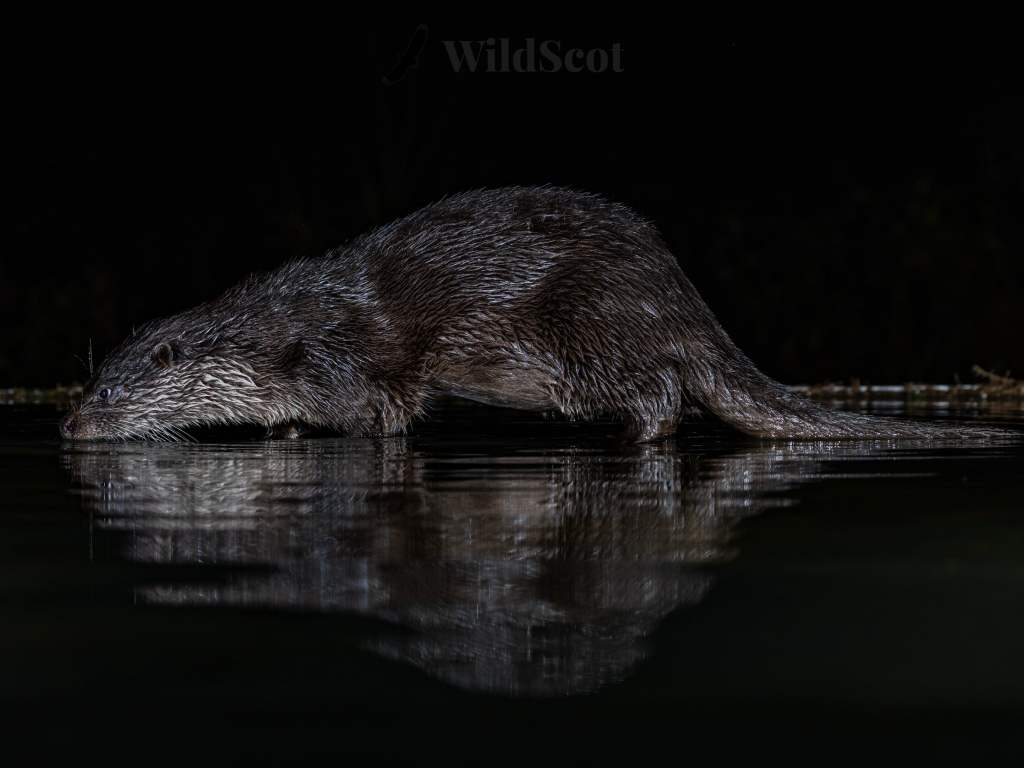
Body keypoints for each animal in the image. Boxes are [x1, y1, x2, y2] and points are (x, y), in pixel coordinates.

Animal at [60, 186, 1016, 442]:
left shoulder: (344, 365)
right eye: (88, 378)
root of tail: (680, 298)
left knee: (661, 394)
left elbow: (377, 417)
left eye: (112, 393)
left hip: (586, 331)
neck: (276, 335)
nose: (71, 425)